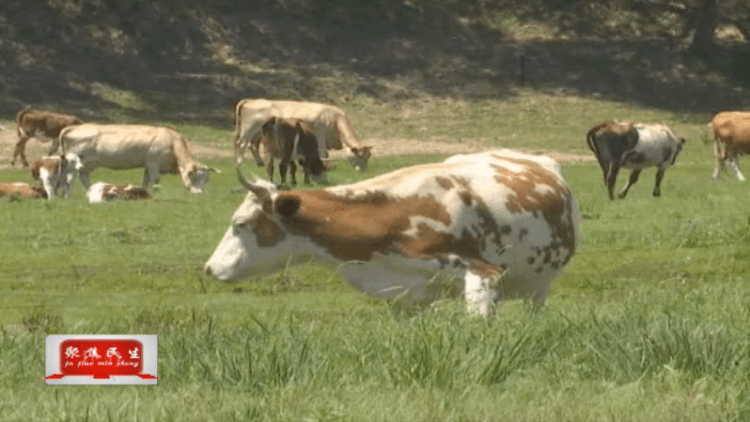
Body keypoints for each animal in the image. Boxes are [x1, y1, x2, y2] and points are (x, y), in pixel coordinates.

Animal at [61, 123, 220, 194]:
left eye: (206, 179)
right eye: (194, 177)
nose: (199, 193)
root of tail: (74, 127)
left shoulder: (148, 165)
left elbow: (146, 180)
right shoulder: (154, 163)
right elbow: (155, 180)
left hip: (86, 164)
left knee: (84, 177)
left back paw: (90, 190)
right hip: (75, 162)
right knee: (70, 178)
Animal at [234, 98, 374, 171]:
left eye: (368, 157)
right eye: (360, 156)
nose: (363, 171)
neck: (335, 118)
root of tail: (251, 100)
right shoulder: (320, 135)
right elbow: (323, 153)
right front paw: (325, 166)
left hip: (257, 133)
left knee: (253, 146)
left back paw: (260, 163)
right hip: (248, 130)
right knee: (241, 145)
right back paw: (240, 163)